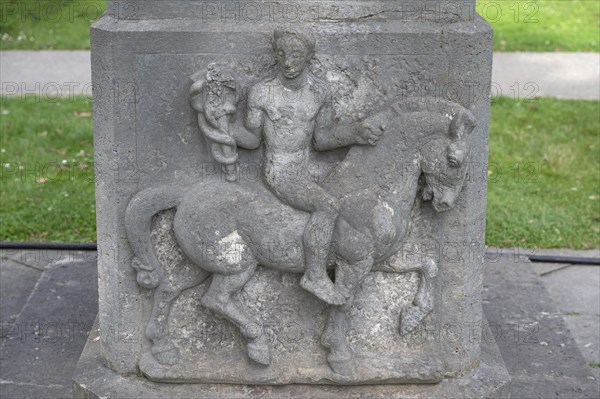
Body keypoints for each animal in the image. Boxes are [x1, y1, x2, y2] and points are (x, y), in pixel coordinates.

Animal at [125, 97, 474, 378]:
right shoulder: (355, 262)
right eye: (454, 160)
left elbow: (428, 265)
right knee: (214, 299)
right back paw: (258, 346)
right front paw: (339, 357)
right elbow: (344, 302)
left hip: (201, 263)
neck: (372, 193)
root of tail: (185, 195)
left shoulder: (380, 260)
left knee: (169, 288)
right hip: (236, 264)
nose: (445, 204)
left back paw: (163, 350)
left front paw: (411, 319)